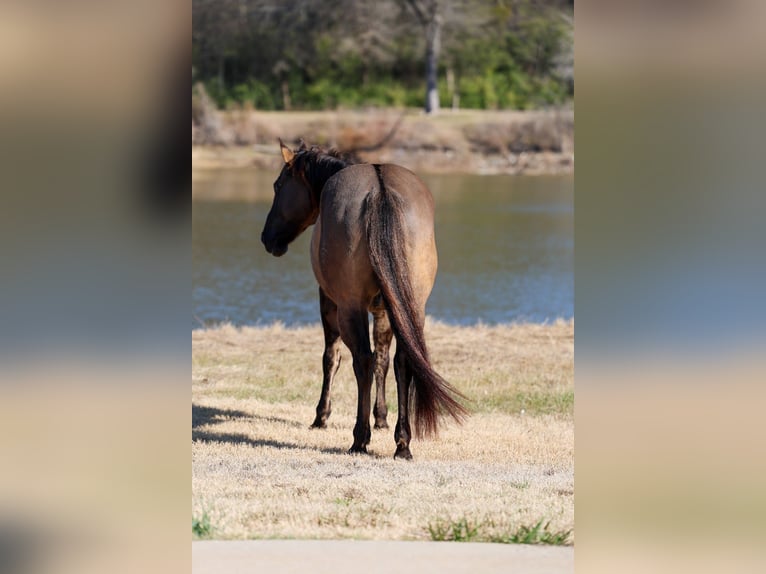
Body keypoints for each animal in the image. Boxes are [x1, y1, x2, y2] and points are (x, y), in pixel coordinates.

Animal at [261, 140, 467, 459]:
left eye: (278, 185)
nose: (267, 238)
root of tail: (379, 189)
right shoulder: (384, 309)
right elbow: (384, 360)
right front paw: (381, 417)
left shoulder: (328, 301)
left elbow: (332, 358)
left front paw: (321, 416)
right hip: (411, 308)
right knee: (401, 361)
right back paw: (402, 442)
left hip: (349, 307)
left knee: (362, 360)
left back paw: (360, 438)